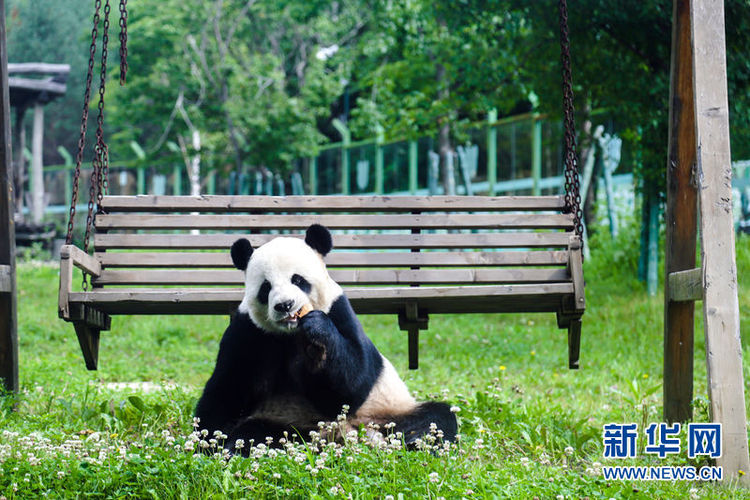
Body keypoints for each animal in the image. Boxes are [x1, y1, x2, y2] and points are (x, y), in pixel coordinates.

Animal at [195, 225, 458, 452]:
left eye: (298, 280)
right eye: (266, 287)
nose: (285, 305)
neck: (291, 333)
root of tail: (345, 433)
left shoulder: (339, 310)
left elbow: (352, 385)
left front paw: (318, 342)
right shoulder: (248, 331)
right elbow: (228, 387)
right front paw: (209, 442)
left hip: (388, 411)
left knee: (435, 417)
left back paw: (417, 441)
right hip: (289, 423)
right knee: (256, 432)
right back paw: (234, 447)